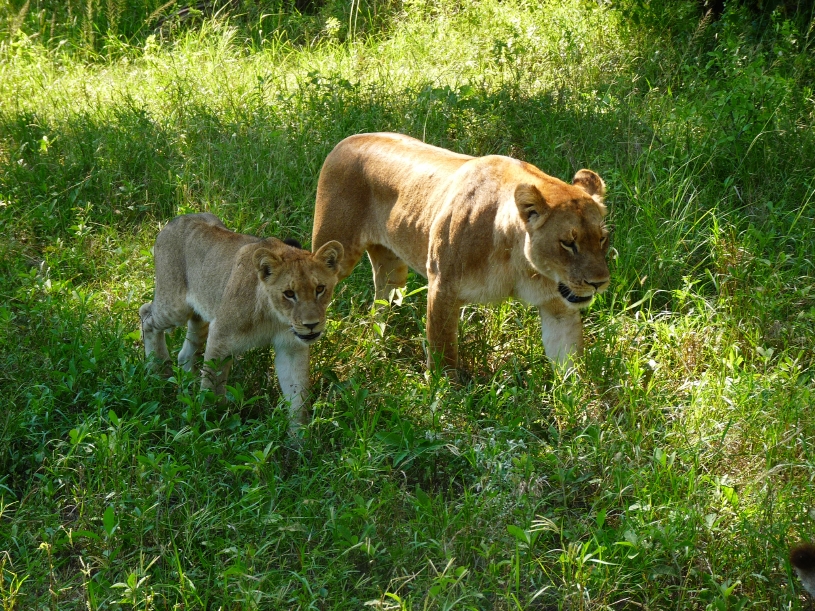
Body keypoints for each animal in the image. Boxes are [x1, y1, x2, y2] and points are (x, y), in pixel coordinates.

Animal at [139, 212, 343, 429]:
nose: (311, 324)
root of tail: (176, 219)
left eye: (320, 289)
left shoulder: (291, 347)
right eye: (289, 294)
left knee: (185, 352)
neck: (274, 317)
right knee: (146, 314)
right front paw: (210, 425)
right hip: (175, 307)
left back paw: (186, 383)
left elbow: (298, 395)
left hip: (202, 313)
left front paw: (300, 434)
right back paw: (159, 371)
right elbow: (212, 388)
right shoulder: (220, 337)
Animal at [311, 132, 609, 372]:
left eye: (602, 239)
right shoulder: (443, 286)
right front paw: (445, 394)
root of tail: (347, 140)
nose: (600, 283)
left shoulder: (557, 304)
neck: (518, 260)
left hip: (393, 270)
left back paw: (378, 344)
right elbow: (443, 350)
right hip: (336, 254)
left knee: (381, 303)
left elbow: (568, 364)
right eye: (568, 243)